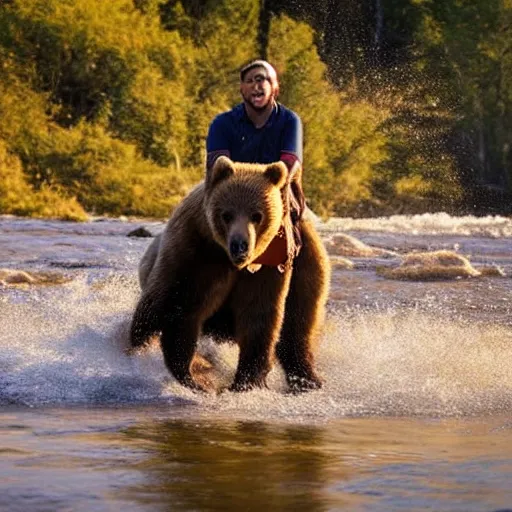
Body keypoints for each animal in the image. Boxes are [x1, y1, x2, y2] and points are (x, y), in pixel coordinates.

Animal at [130, 156, 330, 392]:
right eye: (226, 214)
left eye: (257, 215)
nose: (240, 245)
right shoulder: (194, 254)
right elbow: (180, 308)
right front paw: (194, 376)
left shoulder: (269, 270)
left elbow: (259, 318)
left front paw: (246, 381)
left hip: (307, 269)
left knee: (297, 328)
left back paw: (308, 380)